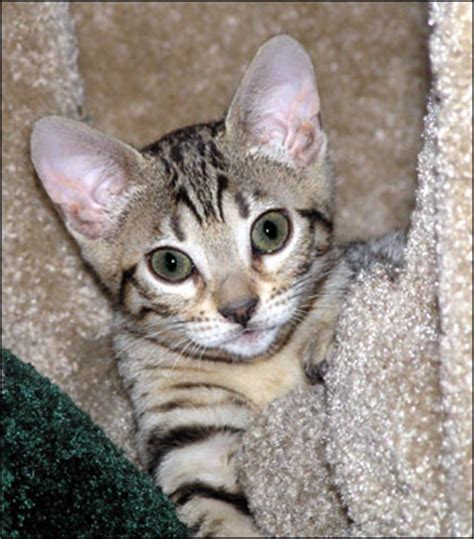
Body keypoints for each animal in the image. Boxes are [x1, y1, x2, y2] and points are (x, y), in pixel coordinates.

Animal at [31, 35, 406, 536]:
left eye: (271, 231)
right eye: (169, 264)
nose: (240, 309)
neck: (261, 369)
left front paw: (328, 336)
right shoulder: (187, 442)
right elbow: (216, 513)